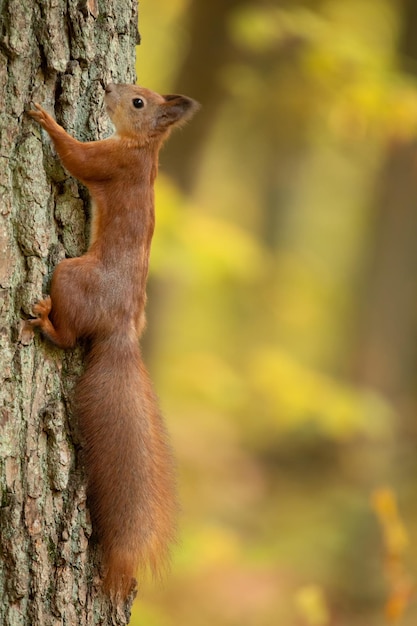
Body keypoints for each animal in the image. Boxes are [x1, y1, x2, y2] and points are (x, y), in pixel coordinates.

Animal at [26, 81, 199, 596]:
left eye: (138, 102)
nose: (107, 87)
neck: (143, 148)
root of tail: (120, 329)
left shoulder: (110, 162)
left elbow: (77, 158)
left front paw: (46, 118)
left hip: (70, 275)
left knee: (66, 338)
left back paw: (45, 322)